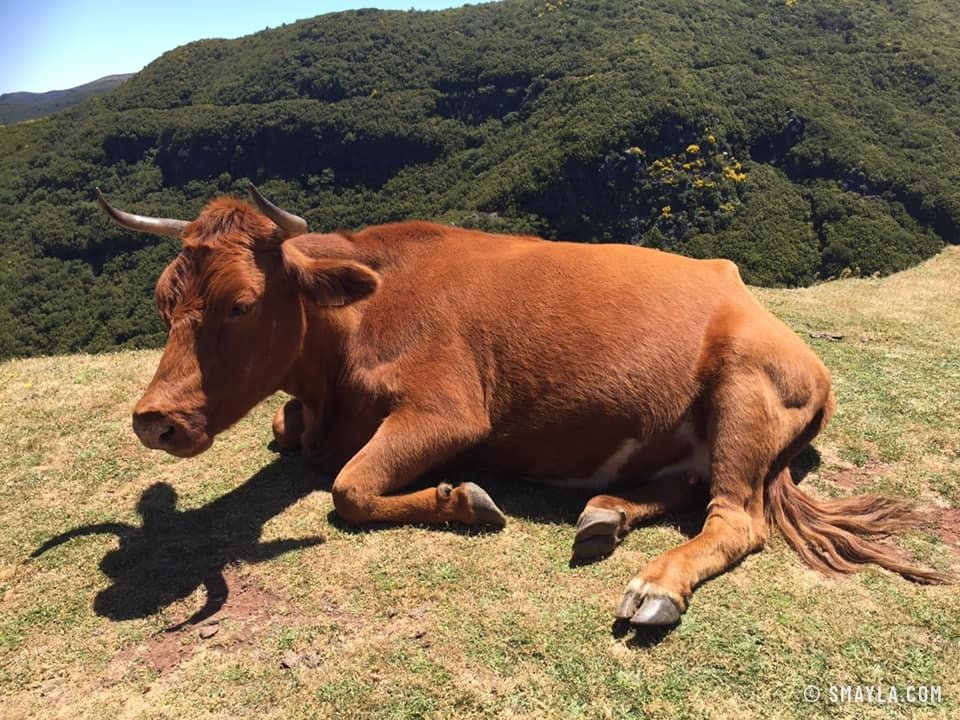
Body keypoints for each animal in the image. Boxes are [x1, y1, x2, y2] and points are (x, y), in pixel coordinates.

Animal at [96, 186, 946, 626]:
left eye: (240, 306)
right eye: (164, 299)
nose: (154, 418)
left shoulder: (448, 411)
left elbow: (348, 489)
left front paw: (463, 500)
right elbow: (290, 437)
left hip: (744, 387)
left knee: (735, 518)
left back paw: (655, 587)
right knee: (684, 486)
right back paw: (605, 513)